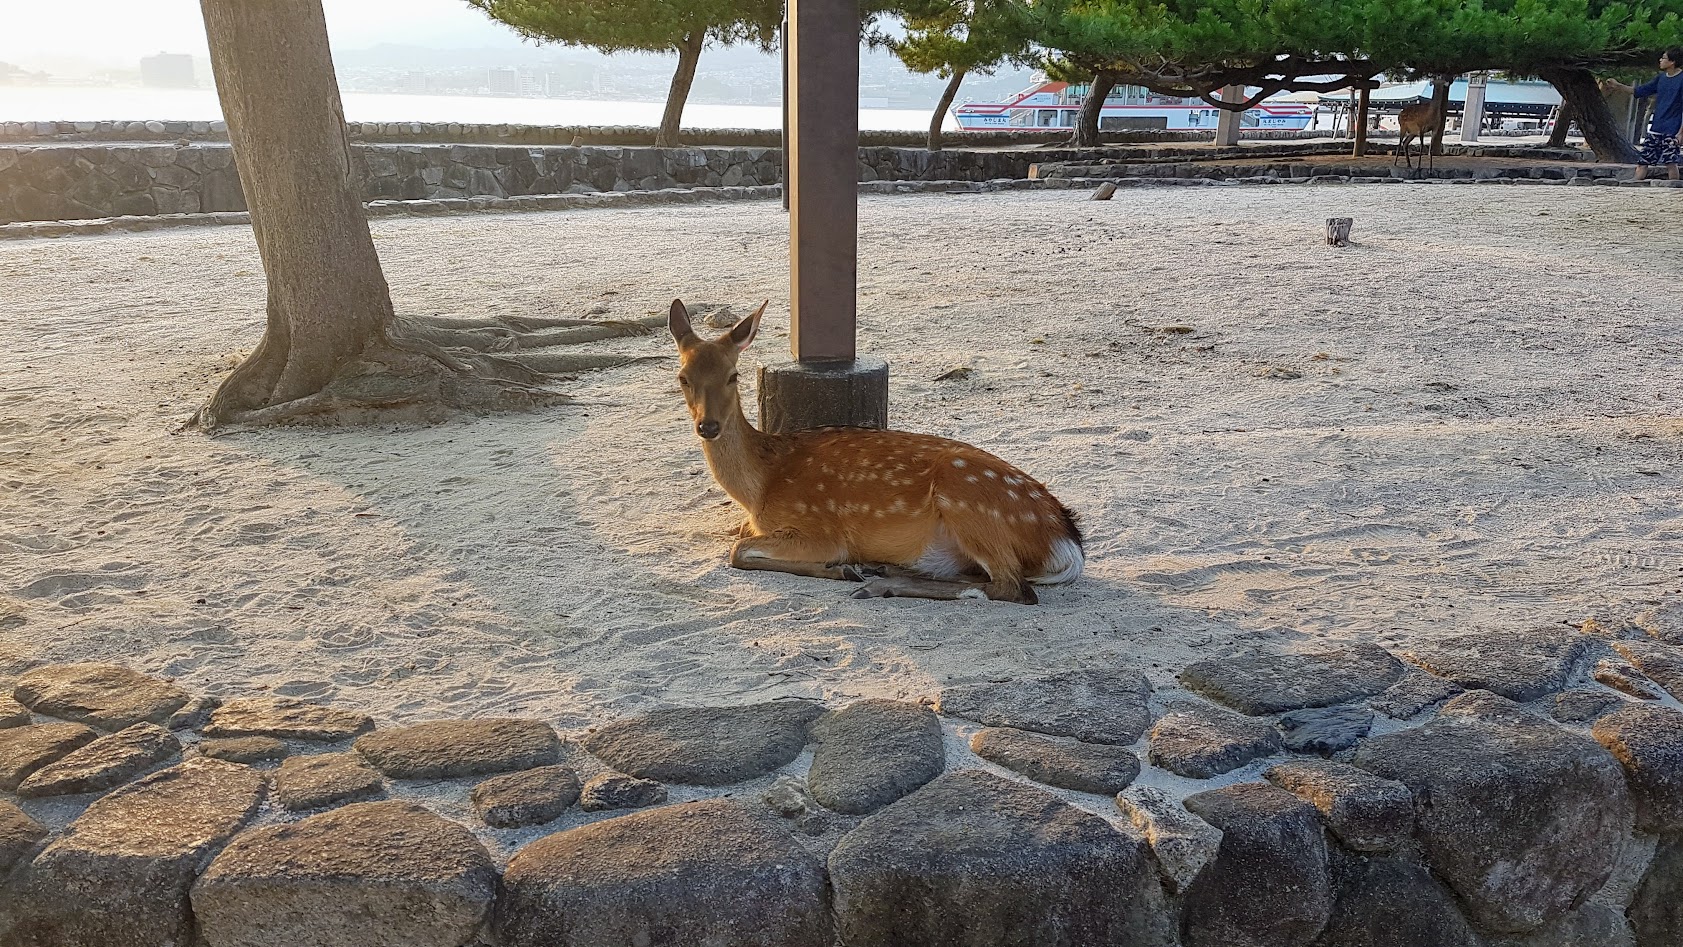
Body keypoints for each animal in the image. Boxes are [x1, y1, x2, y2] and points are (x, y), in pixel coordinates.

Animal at [663, 299, 1083, 605]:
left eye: (733, 376)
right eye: (682, 378)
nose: (708, 426)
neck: (760, 487)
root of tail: (1067, 541)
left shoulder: (820, 528)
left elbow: (738, 551)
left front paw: (842, 567)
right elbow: (740, 544)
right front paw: (847, 568)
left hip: (970, 501)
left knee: (1013, 587)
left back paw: (878, 583)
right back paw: (885, 571)